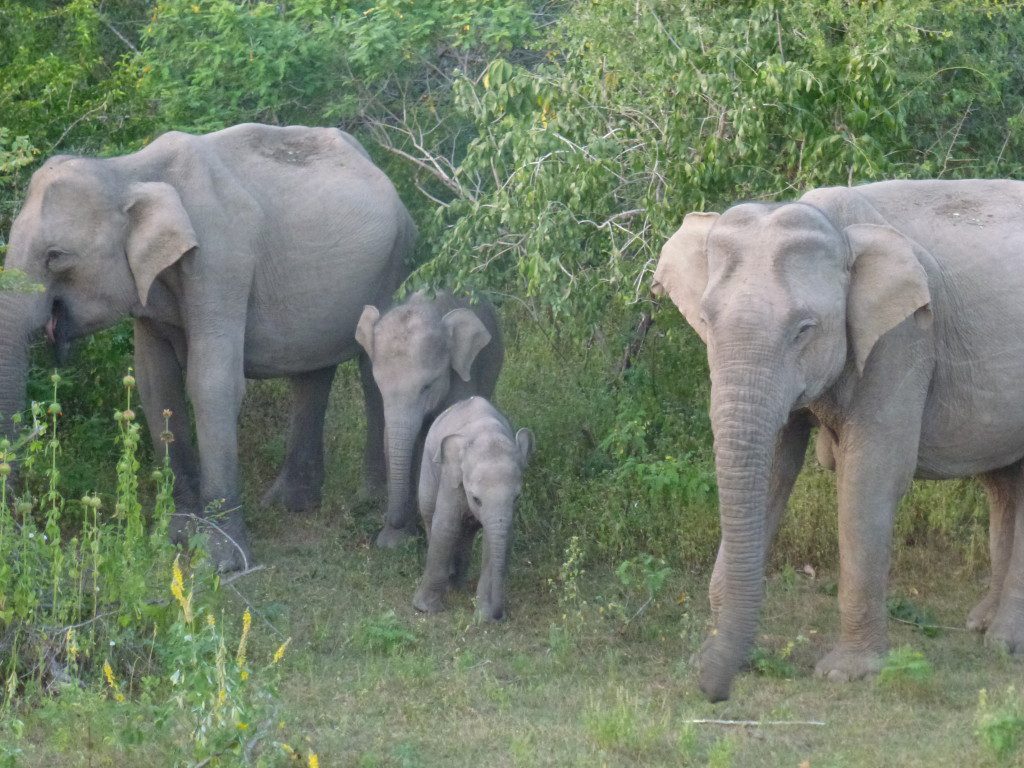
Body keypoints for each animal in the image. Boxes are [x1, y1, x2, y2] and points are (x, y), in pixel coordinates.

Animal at [1, 123, 415, 573]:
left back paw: (367, 502)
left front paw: (221, 562)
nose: (22, 530)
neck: (128, 170)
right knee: (311, 373)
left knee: (371, 366)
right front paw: (176, 535)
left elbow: (212, 383)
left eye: (55, 257)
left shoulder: (221, 260)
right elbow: (155, 384)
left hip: (392, 265)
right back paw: (290, 504)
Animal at [356, 288, 503, 548]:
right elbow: (390, 441)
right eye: (379, 385)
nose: (393, 520)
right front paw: (392, 544)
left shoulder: (460, 375)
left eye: (427, 387)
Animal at [409, 399, 532, 622]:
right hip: (428, 471)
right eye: (476, 499)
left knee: (467, 530)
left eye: (517, 498)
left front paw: (484, 618)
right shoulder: (451, 478)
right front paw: (426, 609)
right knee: (430, 515)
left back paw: (457, 587)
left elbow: (495, 541)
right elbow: (446, 526)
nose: (500, 615)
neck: (487, 432)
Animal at [651, 180, 1024, 704]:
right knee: (1003, 482)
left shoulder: (903, 337)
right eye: (705, 319)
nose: (713, 693)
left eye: (804, 330)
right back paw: (981, 626)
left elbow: (871, 476)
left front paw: (846, 674)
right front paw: (709, 658)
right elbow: (774, 469)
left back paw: (1004, 644)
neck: (836, 226)